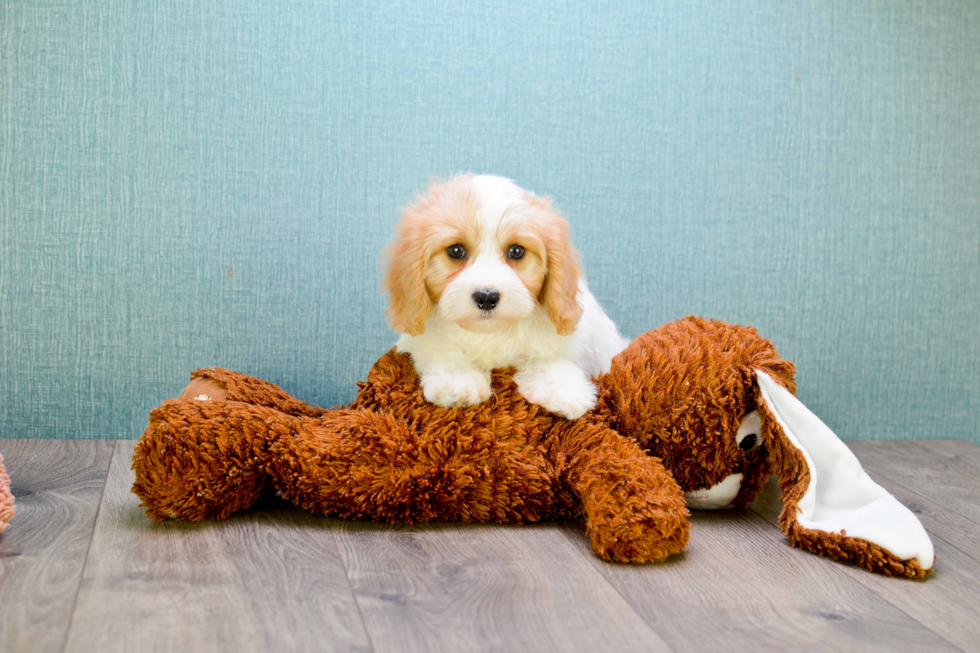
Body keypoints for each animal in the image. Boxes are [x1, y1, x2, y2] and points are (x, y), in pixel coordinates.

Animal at [382, 173, 628, 418]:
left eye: (516, 251)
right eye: (456, 250)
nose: (487, 297)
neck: (493, 333)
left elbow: (551, 358)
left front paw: (561, 391)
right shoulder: (423, 338)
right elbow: (443, 352)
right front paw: (457, 383)